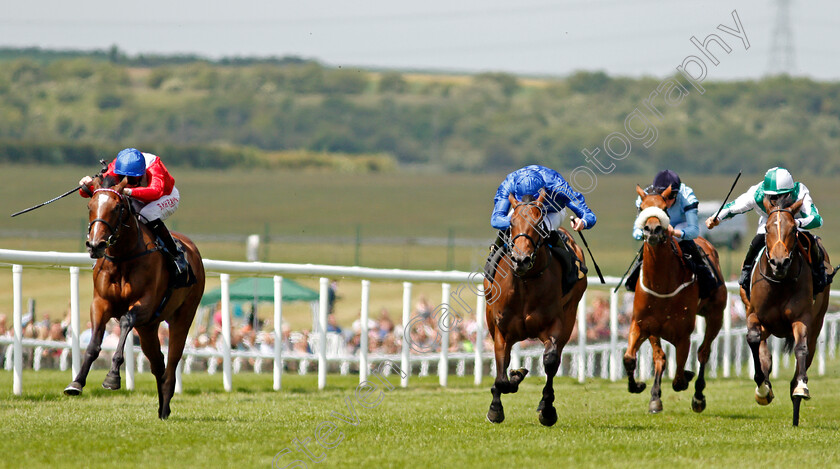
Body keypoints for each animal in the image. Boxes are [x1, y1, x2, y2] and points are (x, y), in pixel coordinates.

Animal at [64, 175, 205, 416]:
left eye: (116, 208)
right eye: (90, 206)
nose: (95, 245)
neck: (123, 256)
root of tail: (193, 249)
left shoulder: (145, 305)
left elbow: (125, 320)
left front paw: (112, 378)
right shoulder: (100, 303)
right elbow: (93, 344)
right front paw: (77, 382)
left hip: (183, 316)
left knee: (173, 360)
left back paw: (165, 405)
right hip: (149, 327)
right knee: (158, 362)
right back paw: (162, 405)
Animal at [482, 190, 588, 424]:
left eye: (539, 224)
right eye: (511, 223)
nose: (521, 259)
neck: (525, 281)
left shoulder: (554, 324)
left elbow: (550, 361)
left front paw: (547, 409)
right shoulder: (501, 329)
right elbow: (502, 371)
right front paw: (496, 407)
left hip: (570, 316)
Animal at [624, 186, 728, 414]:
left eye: (664, 209)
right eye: (641, 208)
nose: (652, 230)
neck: (662, 285)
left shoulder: (683, 334)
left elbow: (679, 377)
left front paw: (687, 378)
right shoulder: (643, 324)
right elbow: (633, 358)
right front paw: (641, 388)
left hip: (716, 315)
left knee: (704, 352)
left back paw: (698, 396)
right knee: (662, 358)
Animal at [744, 193, 832, 424]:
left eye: (793, 229)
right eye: (767, 228)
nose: (779, 262)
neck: (779, 284)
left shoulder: (802, 318)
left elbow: (801, 348)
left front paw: (801, 386)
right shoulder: (754, 315)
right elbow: (754, 340)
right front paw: (763, 388)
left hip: (817, 322)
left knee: (807, 351)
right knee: (763, 352)